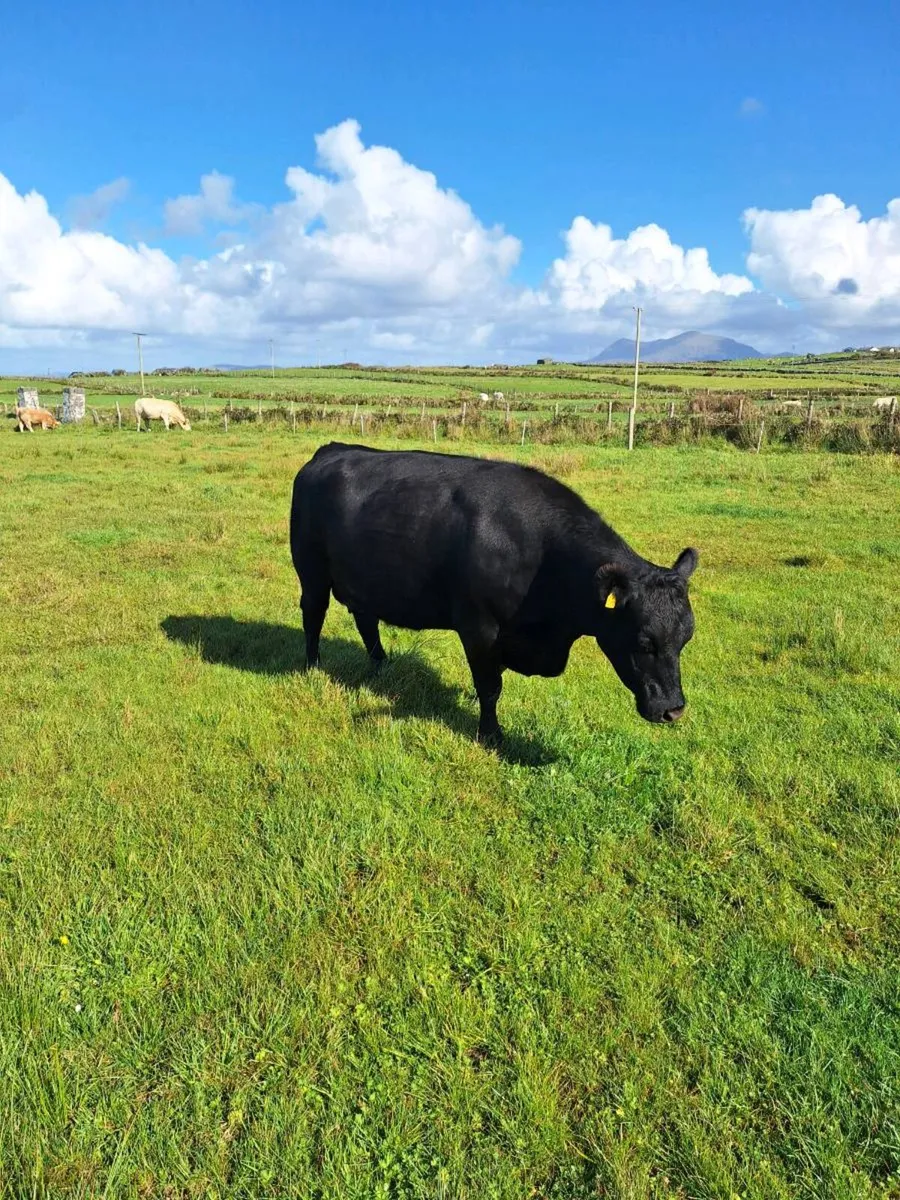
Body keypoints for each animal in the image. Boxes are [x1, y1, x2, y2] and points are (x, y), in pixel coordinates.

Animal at [290, 443, 698, 746]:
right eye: (644, 642)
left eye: (685, 640)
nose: (673, 710)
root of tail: (332, 450)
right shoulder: (479, 627)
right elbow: (490, 686)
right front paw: (490, 734)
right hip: (312, 572)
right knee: (313, 614)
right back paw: (313, 665)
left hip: (367, 581)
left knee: (366, 619)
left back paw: (380, 665)